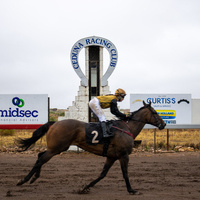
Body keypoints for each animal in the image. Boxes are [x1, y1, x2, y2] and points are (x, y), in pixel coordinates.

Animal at [15, 101, 166, 195]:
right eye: (154, 112)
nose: (163, 124)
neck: (127, 128)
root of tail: (54, 123)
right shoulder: (123, 155)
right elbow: (125, 174)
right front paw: (132, 190)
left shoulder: (111, 156)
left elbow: (102, 174)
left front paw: (85, 187)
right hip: (56, 149)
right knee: (41, 159)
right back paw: (23, 180)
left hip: (57, 148)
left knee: (39, 156)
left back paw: (34, 178)